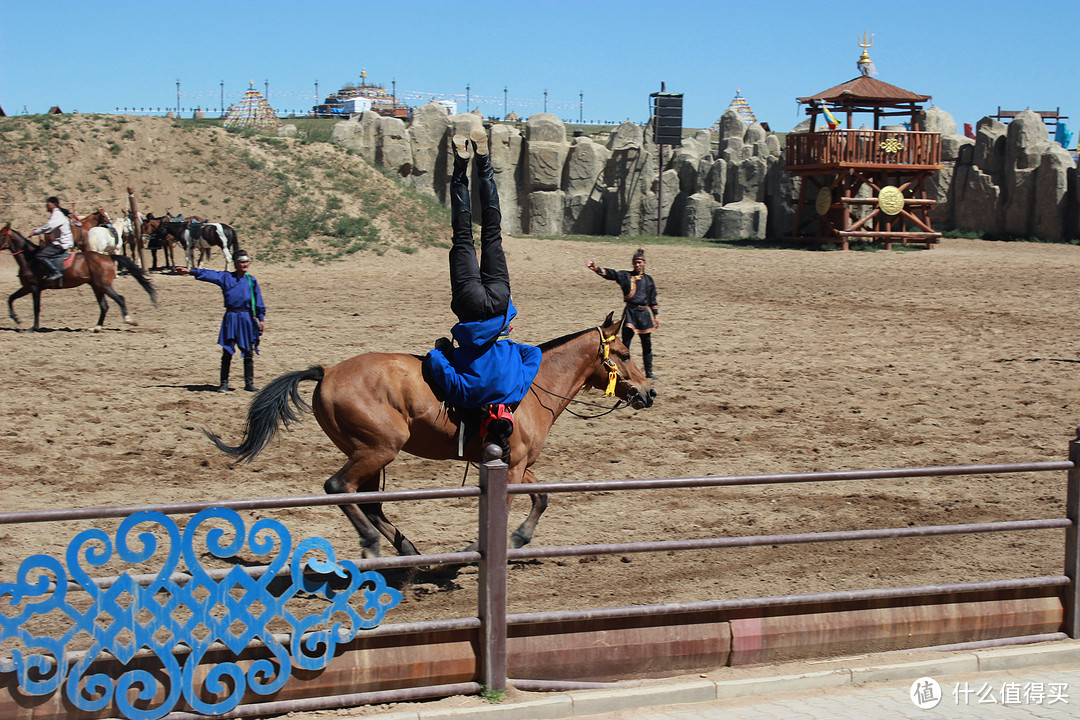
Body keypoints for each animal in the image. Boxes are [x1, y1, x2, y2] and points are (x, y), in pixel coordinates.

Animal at [0, 223, 157, 334]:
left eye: (1, 234)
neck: (30, 258)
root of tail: (108, 257)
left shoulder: (34, 288)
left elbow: (36, 308)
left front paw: (33, 327)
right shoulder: (27, 287)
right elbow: (10, 298)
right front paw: (16, 319)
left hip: (103, 285)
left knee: (119, 299)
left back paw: (129, 320)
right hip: (97, 286)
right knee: (104, 306)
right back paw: (96, 328)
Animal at [206, 313, 652, 557]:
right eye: (626, 354)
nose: (649, 392)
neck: (533, 385)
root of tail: (327, 371)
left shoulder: (522, 465)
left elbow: (541, 499)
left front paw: (519, 538)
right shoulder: (510, 466)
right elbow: (514, 506)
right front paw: (482, 546)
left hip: (368, 453)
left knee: (369, 502)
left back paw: (406, 549)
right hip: (378, 449)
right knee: (339, 488)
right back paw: (373, 543)